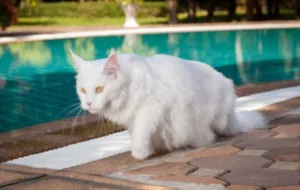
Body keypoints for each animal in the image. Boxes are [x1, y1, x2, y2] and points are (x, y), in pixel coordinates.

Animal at [69, 48, 266, 160]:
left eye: (100, 89)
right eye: (83, 90)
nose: (88, 103)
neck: (128, 86)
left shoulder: (151, 107)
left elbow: (141, 132)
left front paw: (140, 153)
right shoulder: (133, 118)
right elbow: (137, 133)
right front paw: (149, 149)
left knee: (209, 135)